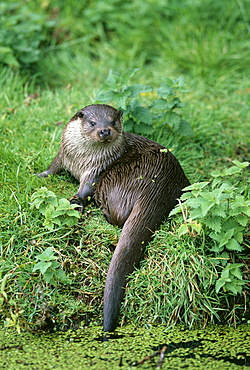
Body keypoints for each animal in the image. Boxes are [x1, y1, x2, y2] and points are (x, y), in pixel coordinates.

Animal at [37, 102, 189, 330]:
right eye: (93, 123)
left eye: (113, 121)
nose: (104, 130)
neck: (81, 159)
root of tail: (158, 185)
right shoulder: (63, 153)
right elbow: (53, 167)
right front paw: (40, 174)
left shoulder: (96, 170)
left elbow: (85, 188)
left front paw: (76, 201)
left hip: (114, 179)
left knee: (118, 216)